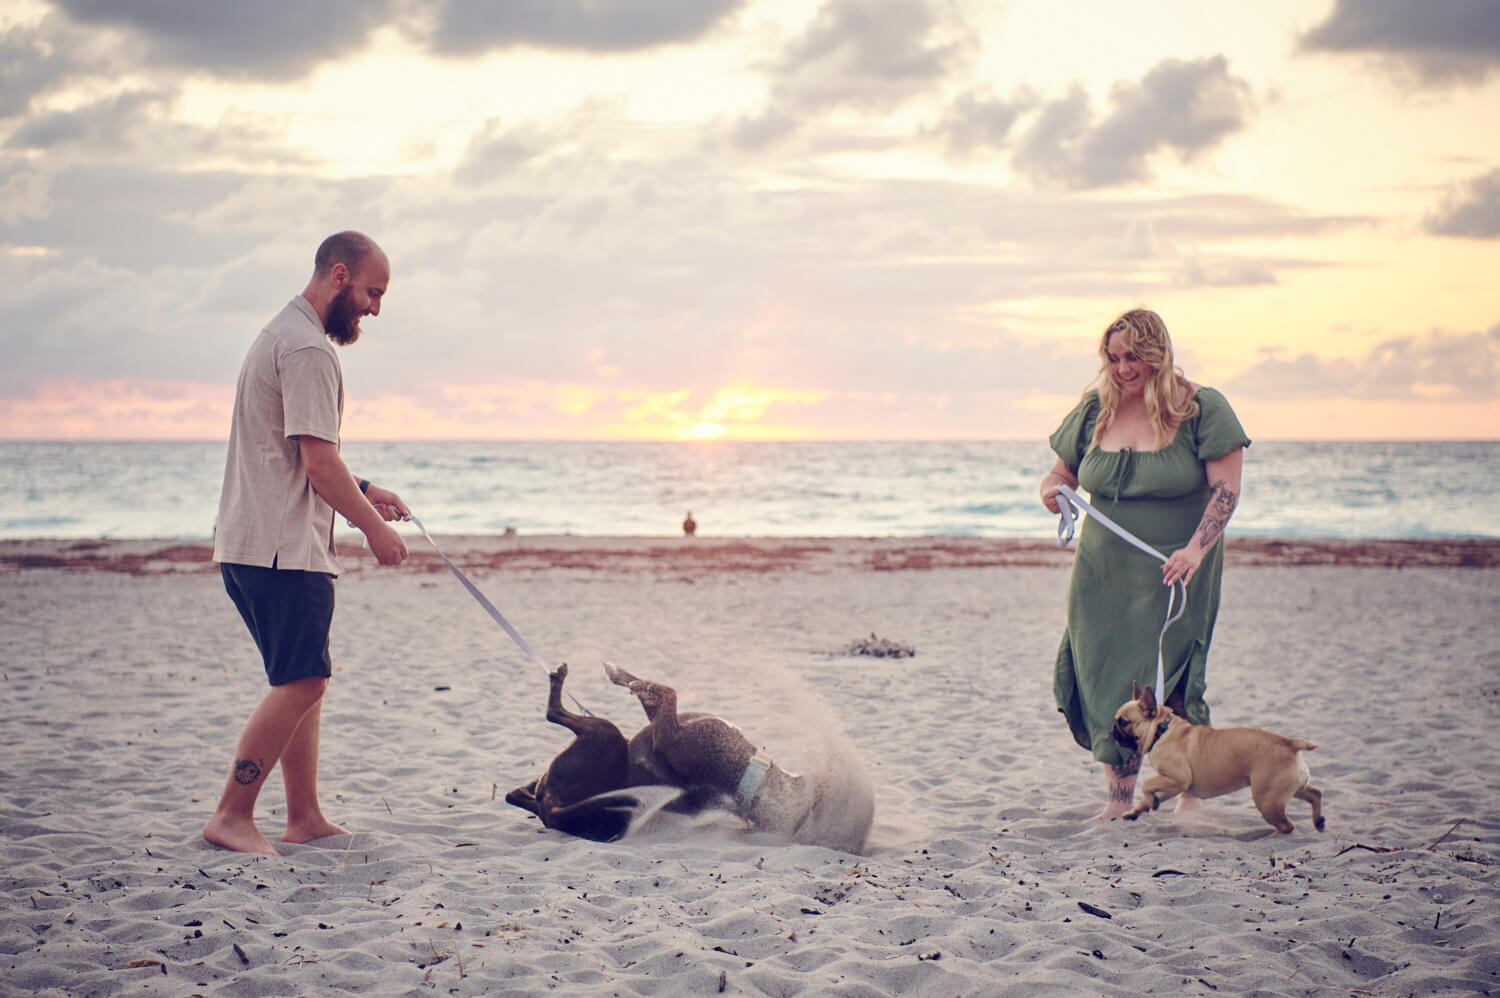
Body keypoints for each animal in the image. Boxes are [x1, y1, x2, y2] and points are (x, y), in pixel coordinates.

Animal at [510, 660, 876, 846]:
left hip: (605, 733)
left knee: (554, 714)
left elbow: (660, 690)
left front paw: (619, 674)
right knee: (515, 793)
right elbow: (654, 693)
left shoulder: (668, 731)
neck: (746, 779)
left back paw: (558, 680)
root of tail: (551, 807)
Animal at [1116, 678, 1326, 834]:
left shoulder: (1178, 778)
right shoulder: (1172, 785)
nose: (1112, 731)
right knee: (1315, 793)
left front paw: (1150, 801)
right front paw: (1137, 810)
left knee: (1286, 825)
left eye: (1124, 722)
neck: (1162, 729)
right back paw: (1318, 821)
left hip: (1267, 800)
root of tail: (1290, 743)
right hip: (1290, 788)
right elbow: (1149, 794)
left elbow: (1146, 784)